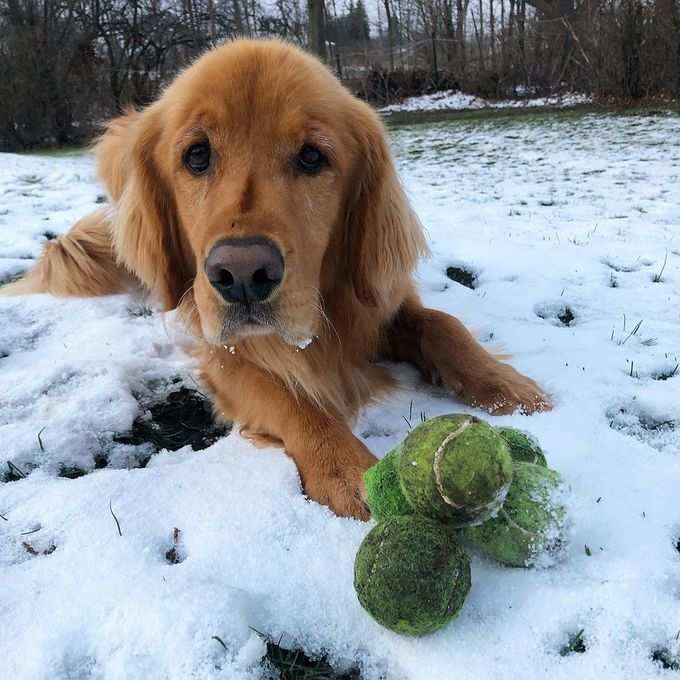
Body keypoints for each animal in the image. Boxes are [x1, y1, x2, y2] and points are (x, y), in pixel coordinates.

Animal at [0, 39, 548, 516]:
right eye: (196, 155)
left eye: (312, 156)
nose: (242, 274)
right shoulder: (225, 351)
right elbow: (295, 400)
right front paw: (349, 471)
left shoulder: (381, 300)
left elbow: (442, 324)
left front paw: (506, 385)